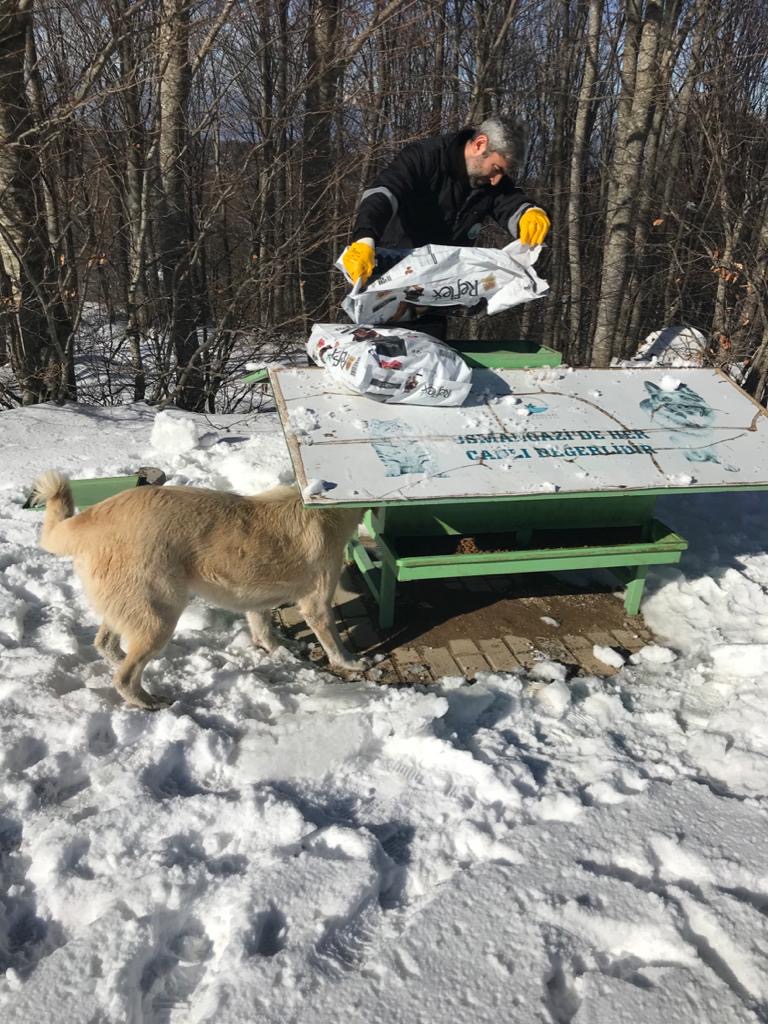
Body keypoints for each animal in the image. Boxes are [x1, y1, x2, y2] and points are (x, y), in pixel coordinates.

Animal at [31, 473, 364, 708]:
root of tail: (94, 515)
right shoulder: (317, 605)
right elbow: (334, 644)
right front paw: (350, 663)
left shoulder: (255, 599)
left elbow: (263, 630)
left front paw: (279, 651)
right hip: (160, 617)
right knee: (123, 679)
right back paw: (149, 702)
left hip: (131, 607)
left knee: (107, 645)